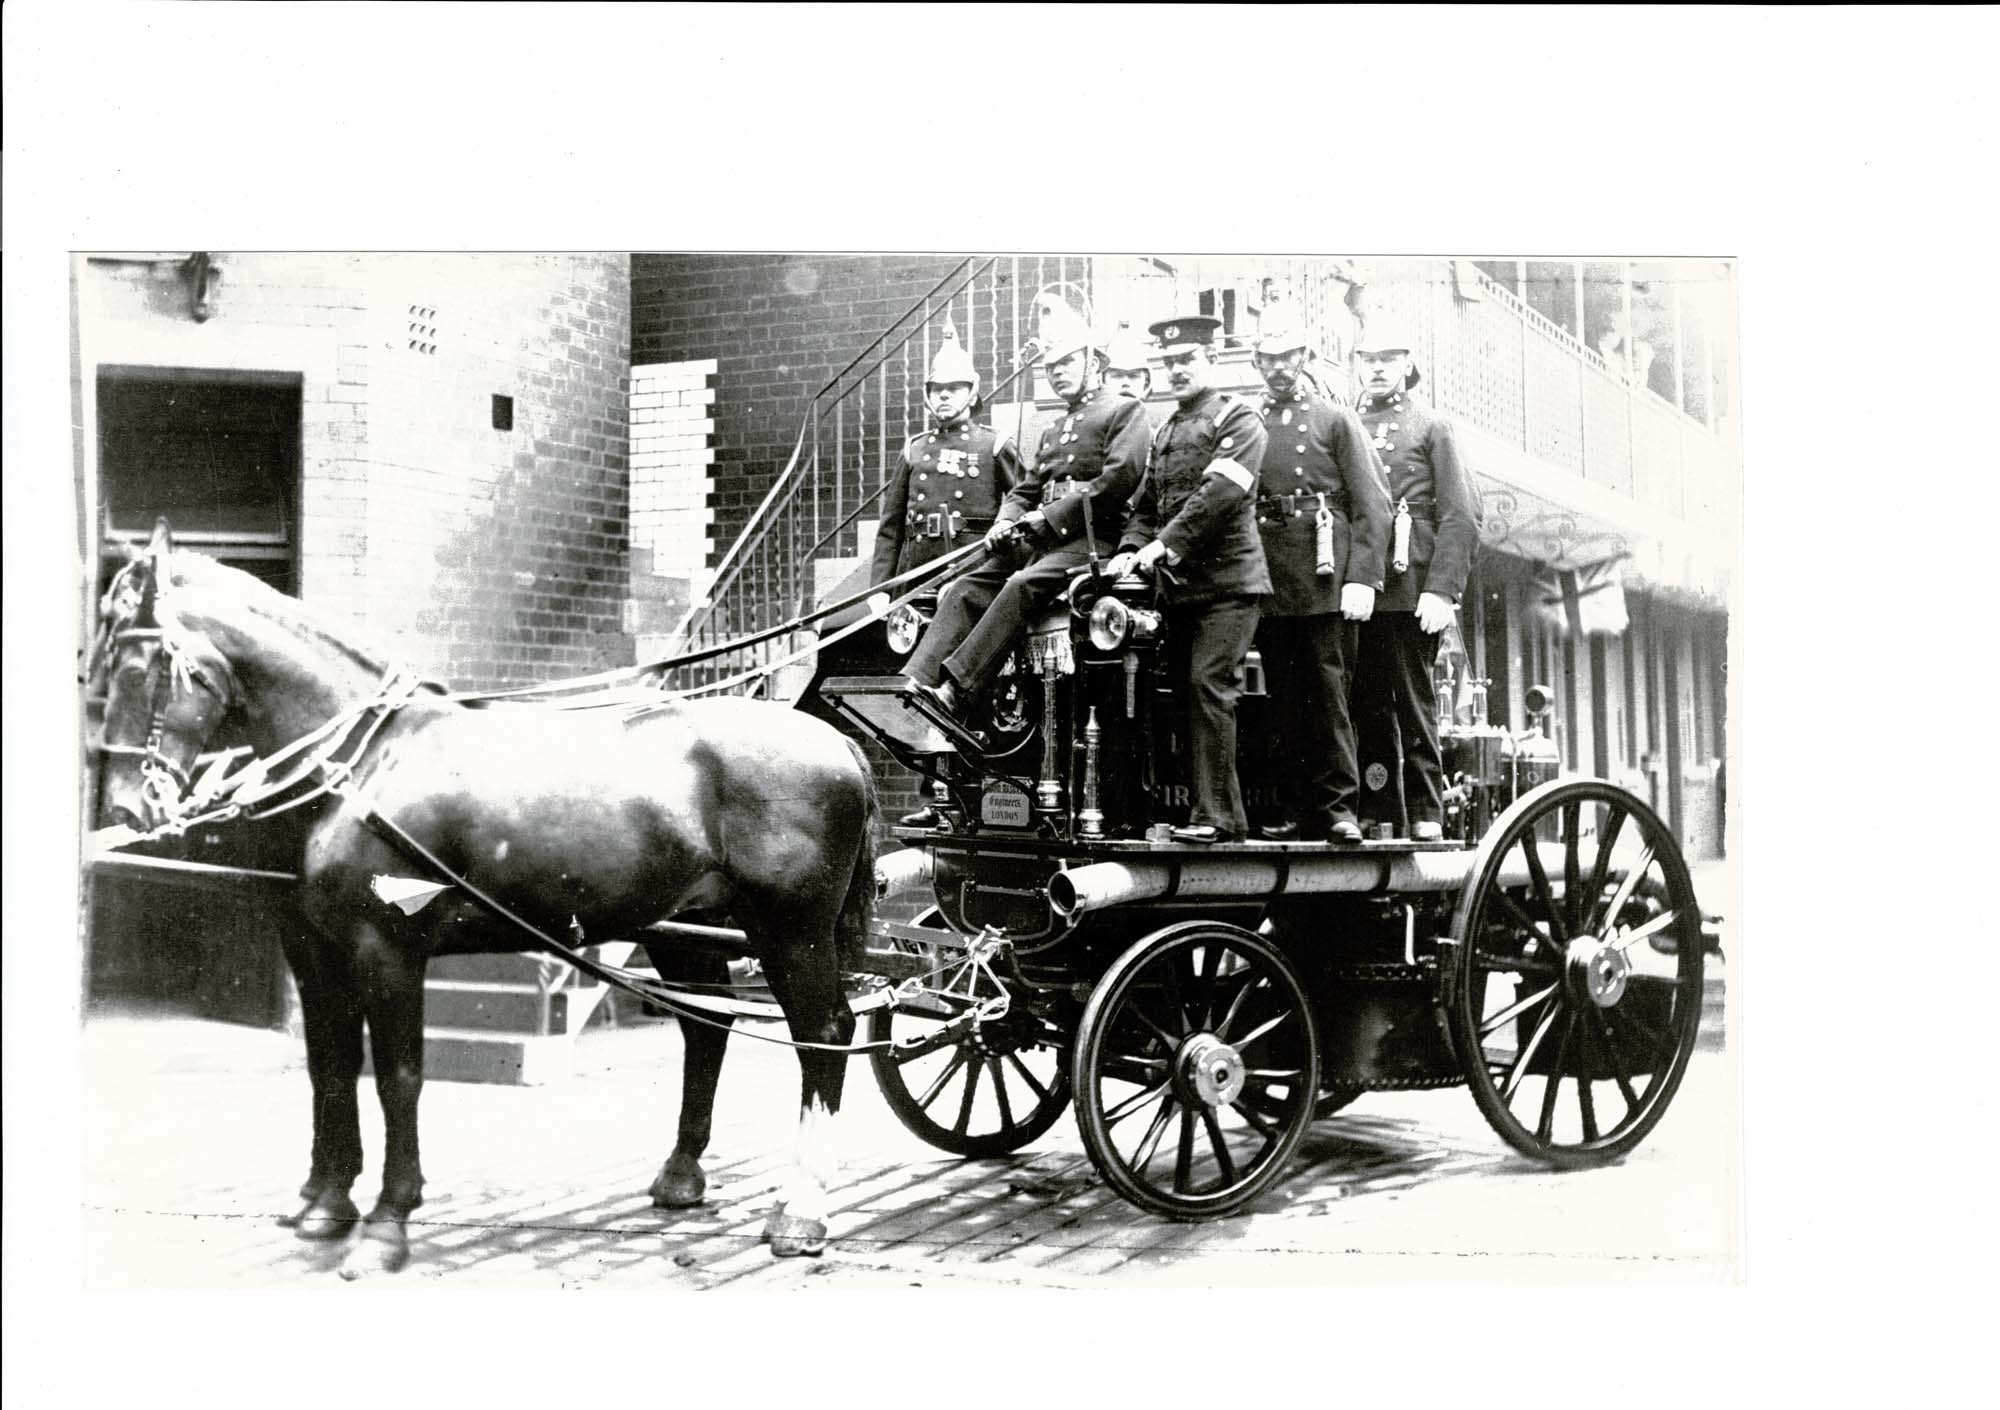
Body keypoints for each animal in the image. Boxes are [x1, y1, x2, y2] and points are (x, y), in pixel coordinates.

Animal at [92, 524, 876, 1272]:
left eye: (140, 668)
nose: (128, 806)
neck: (365, 762)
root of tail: (839, 747)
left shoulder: (387, 947)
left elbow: (398, 1076)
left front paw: (387, 1223)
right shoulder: (314, 947)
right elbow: (329, 1065)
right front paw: (325, 1201)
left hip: (791, 930)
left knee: (826, 1032)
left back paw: (803, 1210)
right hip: (686, 926)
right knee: (709, 1027)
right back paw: (687, 1177)